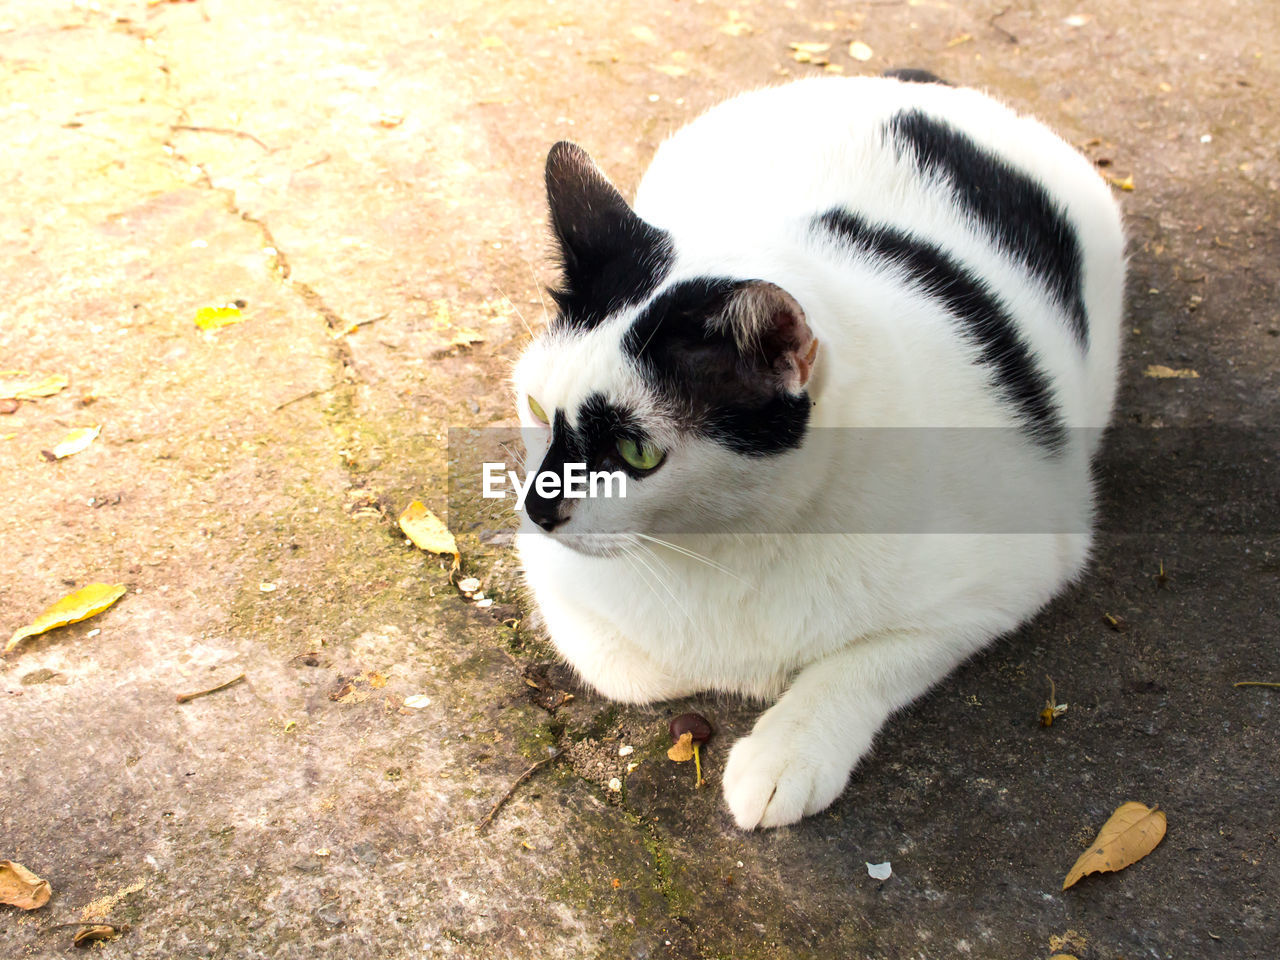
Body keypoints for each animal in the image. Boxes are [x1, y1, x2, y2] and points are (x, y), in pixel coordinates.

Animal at [509, 75, 1121, 829]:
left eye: (635, 451)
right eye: (539, 410)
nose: (539, 511)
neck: (721, 545)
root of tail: (904, 84)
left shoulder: (1018, 570)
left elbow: (870, 658)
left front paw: (789, 747)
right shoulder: (552, 573)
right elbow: (628, 666)